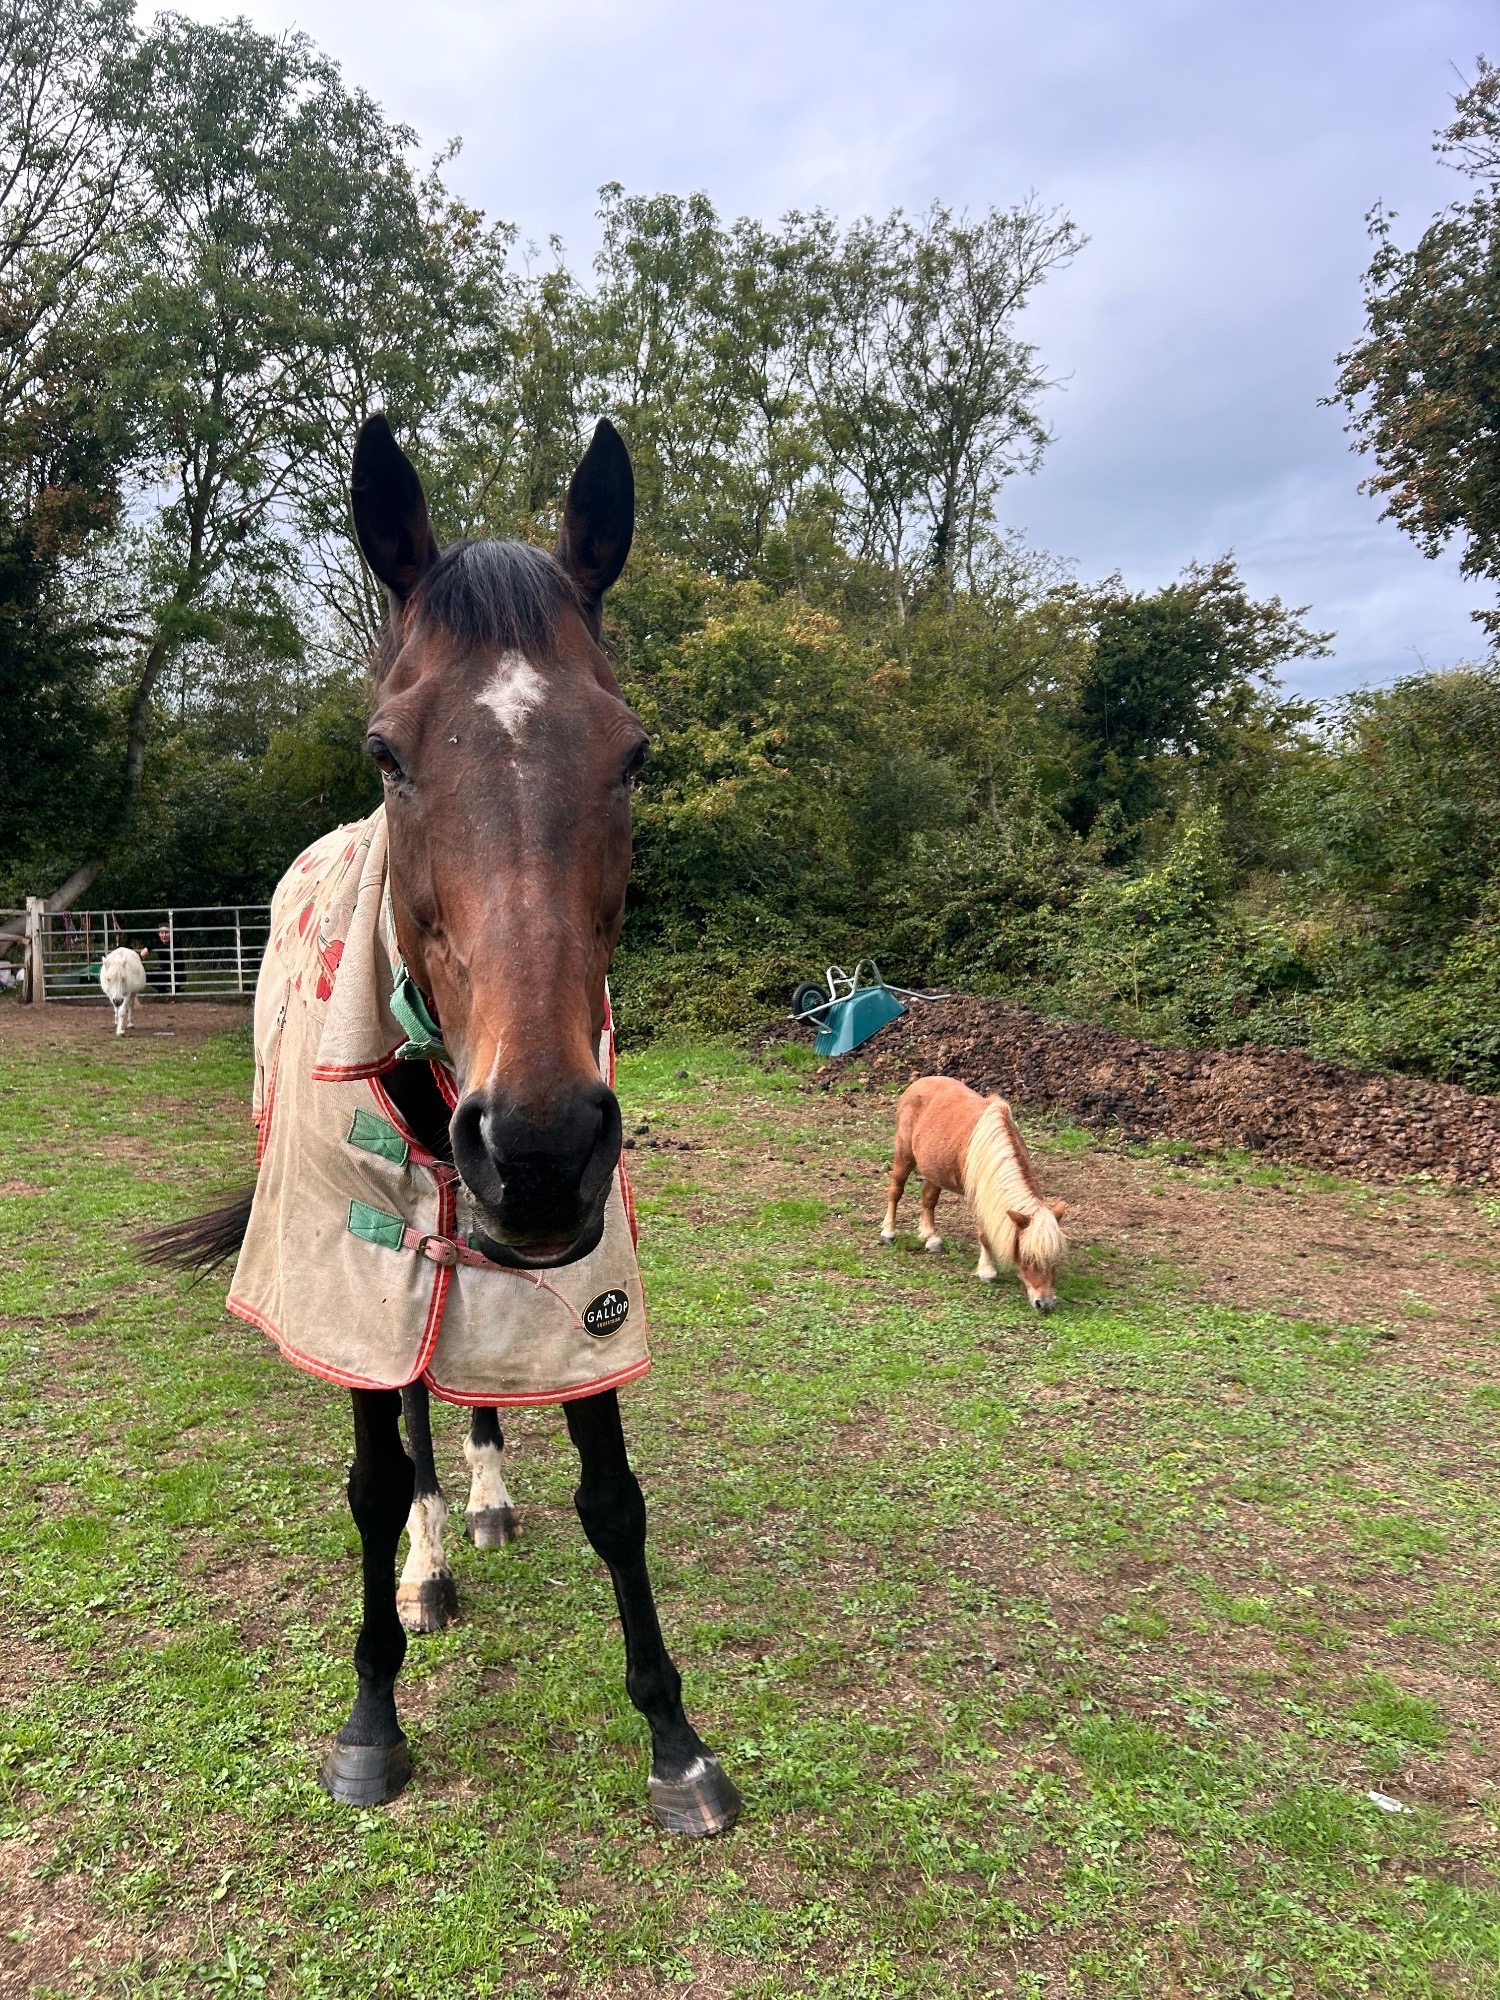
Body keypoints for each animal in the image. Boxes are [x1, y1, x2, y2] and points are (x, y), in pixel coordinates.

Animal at [145, 415, 741, 1838]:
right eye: (389, 753)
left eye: (632, 753)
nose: (538, 1147)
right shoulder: (340, 1285)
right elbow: (366, 1487)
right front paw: (373, 1714)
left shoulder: (589, 1282)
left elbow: (614, 1499)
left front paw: (676, 1740)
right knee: (414, 1401)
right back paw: (426, 1558)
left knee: (467, 1391)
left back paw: (480, 1496)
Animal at [881, 1077, 1068, 1308]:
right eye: (1028, 1257)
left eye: (1055, 1258)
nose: (1045, 1303)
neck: (994, 1153)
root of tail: (919, 1083)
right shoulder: (980, 1200)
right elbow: (984, 1236)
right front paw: (987, 1271)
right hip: (904, 1155)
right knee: (895, 1191)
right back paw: (888, 1232)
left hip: (935, 1169)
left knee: (928, 1199)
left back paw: (930, 1237)